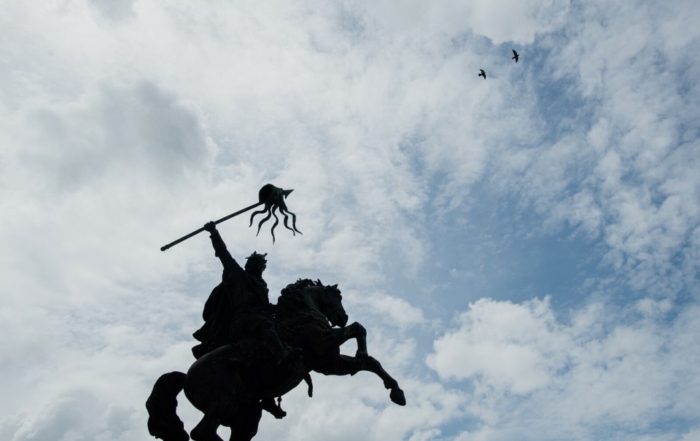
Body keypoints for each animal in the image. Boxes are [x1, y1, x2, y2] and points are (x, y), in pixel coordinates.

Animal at [146, 278, 404, 440]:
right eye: (337, 295)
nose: (342, 316)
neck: (300, 315)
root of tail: (186, 377)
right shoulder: (323, 343)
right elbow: (358, 329)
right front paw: (362, 350)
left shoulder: (329, 363)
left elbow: (370, 364)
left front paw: (396, 391)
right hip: (224, 401)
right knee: (202, 433)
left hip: (246, 414)